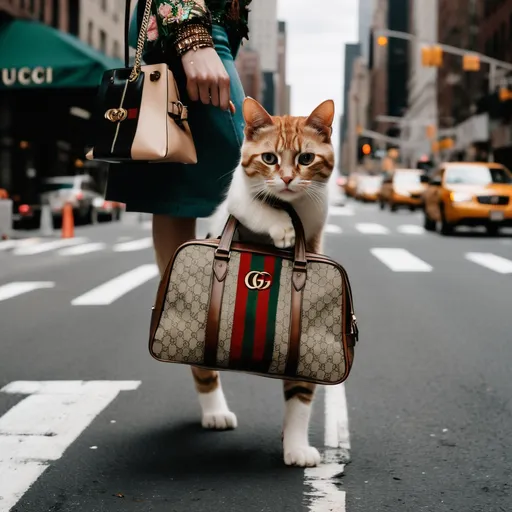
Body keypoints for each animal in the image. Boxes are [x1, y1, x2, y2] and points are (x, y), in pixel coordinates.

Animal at [192, 96, 336, 468]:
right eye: (269, 158)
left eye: (305, 159)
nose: (286, 179)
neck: (292, 205)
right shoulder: (238, 199)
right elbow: (258, 207)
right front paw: (282, 227)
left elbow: (299, 396)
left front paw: (295, 445)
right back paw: (214, 412)